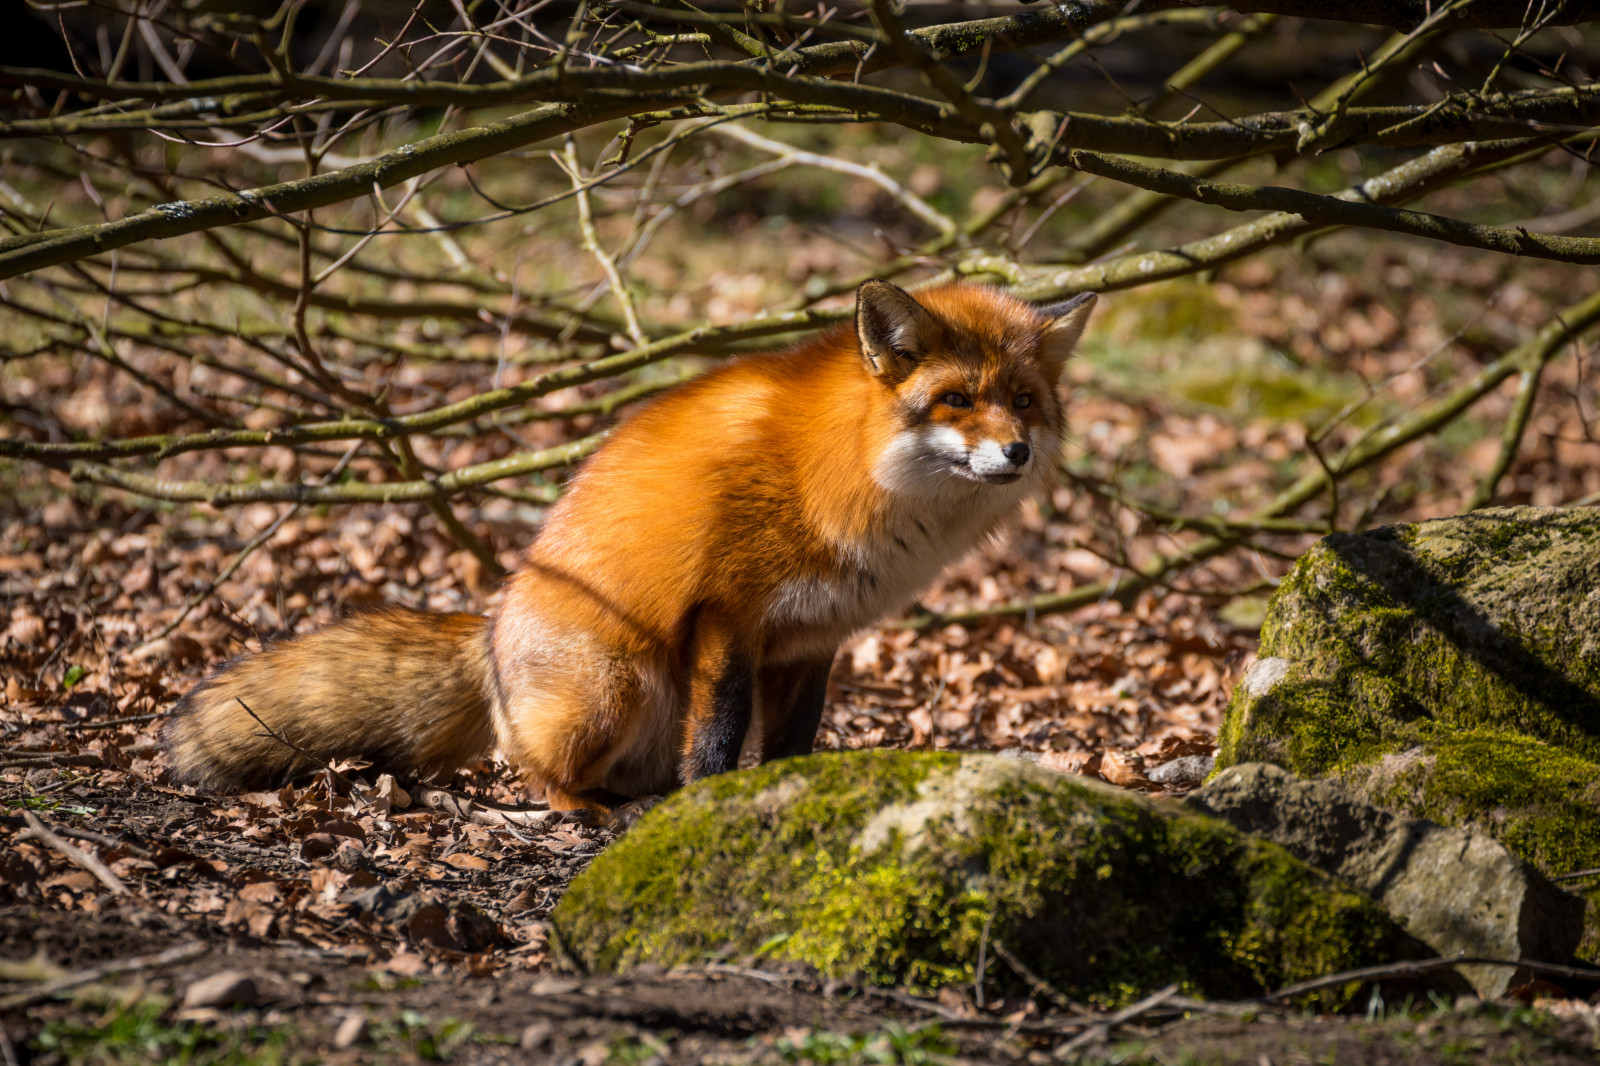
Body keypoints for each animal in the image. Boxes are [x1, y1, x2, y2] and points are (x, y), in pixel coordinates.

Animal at [165, 278, 1100, 809]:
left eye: (1022, 400)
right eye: (956, 401)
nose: (1016, 452)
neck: (848, 475)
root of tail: (492, 635)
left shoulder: (813, 636)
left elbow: (789, 743)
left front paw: (783, 798)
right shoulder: (728, 615)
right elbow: (719, 736)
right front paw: (706, 809)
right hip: (615, 684)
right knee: (527, 768)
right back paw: (588, 810)